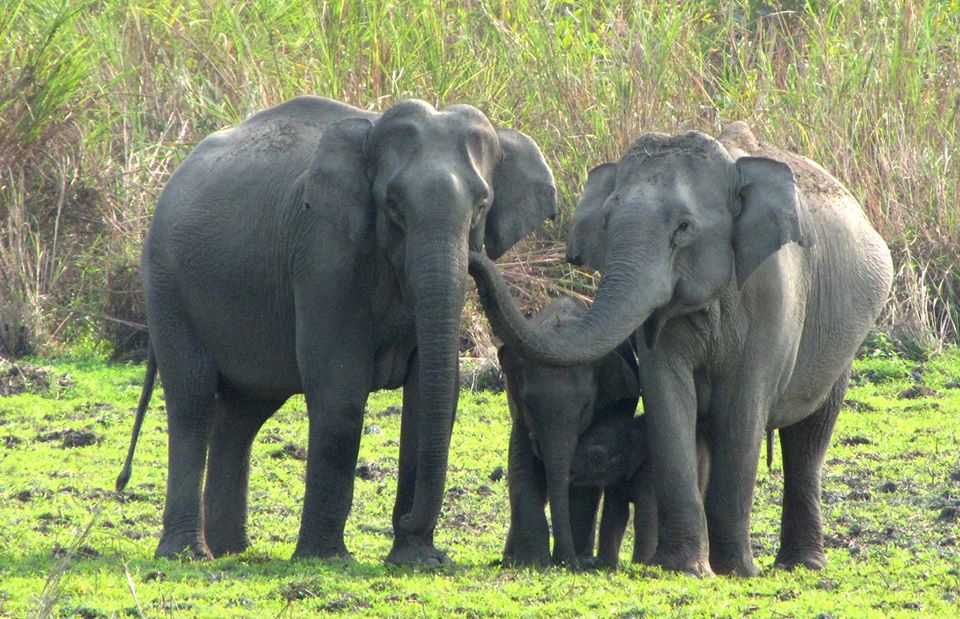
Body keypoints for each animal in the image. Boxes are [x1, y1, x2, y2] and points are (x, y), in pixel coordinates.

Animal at [117, 97, 560, 568]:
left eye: (481, 205)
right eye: (393, 206)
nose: (413, 527)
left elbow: (429, 394)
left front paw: (415, 560)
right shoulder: (324, 256)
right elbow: (339, 391)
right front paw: (325, 559)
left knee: (242, 413)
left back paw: (232, 550)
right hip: (166, 286)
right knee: (192, 399)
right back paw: (187, 555)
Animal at [498, 298, 640, 568]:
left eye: (585, 406)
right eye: (529, 404)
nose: (565, 561)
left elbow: (585, 481)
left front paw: (572, 561)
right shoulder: (518, 410)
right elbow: (521, 464)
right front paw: (532, 561)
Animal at [568, 414, 712, 568]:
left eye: (597, 456)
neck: (630, 426)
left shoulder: (648, 470)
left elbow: (645, 514)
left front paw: (640, 564)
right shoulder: (617, 481)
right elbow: (616, 513)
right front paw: (605, 565)